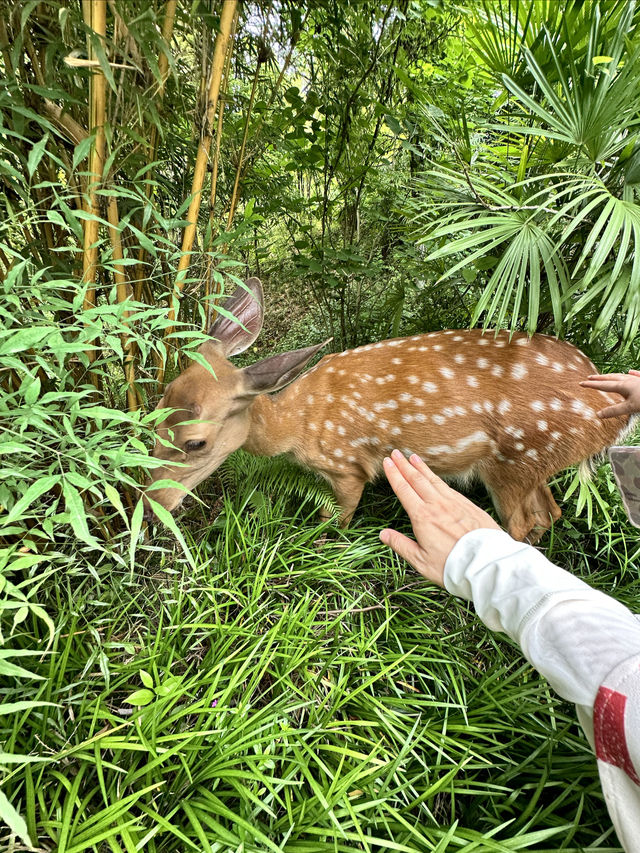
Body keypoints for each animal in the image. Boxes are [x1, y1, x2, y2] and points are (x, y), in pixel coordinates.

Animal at [144, 276, 632, 544]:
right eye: (158, 405)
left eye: (196, 442)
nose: (151, 504)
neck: (297, 423)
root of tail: (614, 415)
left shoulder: (347, 467)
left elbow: (336, 518)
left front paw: (321, 542)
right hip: (535, 464)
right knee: (551, 513)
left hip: (514, 461)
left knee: (520, 524)